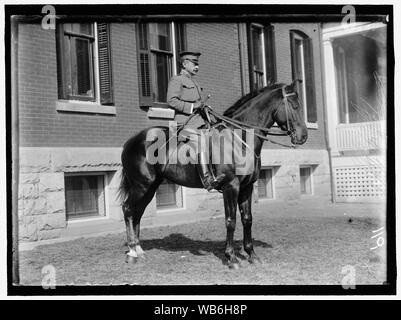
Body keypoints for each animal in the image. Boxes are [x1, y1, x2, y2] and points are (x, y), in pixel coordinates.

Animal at [118, 79, 306, 268]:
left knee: (138, 212)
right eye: (294, 105)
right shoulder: (231, 187)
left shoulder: (247, 187)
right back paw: (132, 251)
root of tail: (131, 140)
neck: (239, 139)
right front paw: (231, 257)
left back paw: (139, 250)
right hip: (141, 185)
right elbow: (231, 221)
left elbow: (247, 219)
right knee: (128, 209)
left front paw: (252, 254)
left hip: (150, 187)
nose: (303, 136)